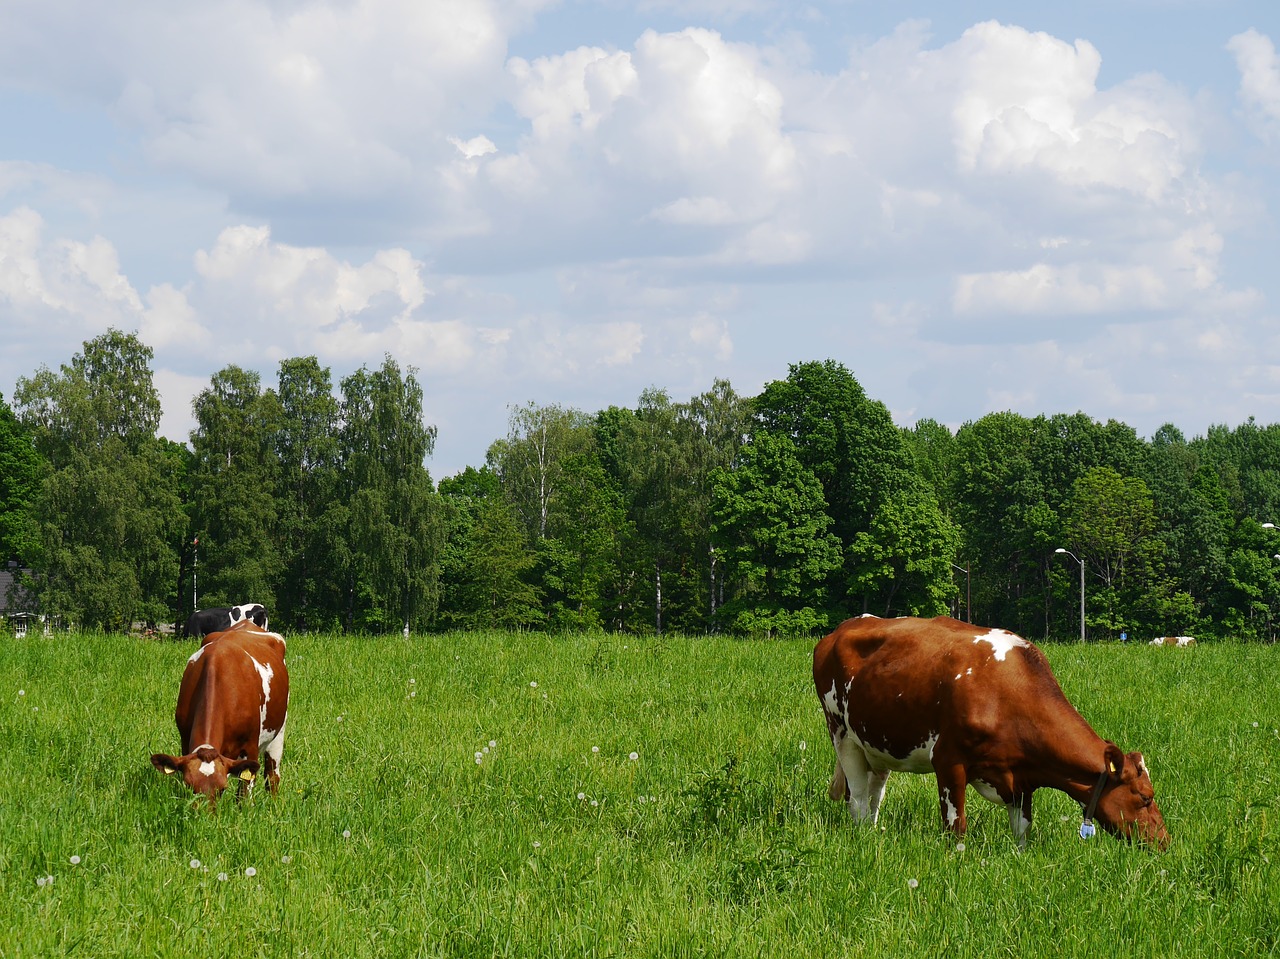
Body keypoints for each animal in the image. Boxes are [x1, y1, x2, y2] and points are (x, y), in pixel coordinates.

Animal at [151, 617, 289, 798]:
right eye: (189, 786)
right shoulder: (184, 740)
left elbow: (243, 793)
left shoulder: (250, 746)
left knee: (272, 774)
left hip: (279, 730)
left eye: (222, 789)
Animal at [814, 614, 1167, 845]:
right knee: (858, 798)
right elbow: (956, 826)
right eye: (1145, 797)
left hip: (878, 743)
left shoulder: (1021, 778)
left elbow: (1022, 831)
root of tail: (842, 628)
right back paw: (863, 837)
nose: (1164, 842)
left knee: (875, 795)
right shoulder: (948, 761)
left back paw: (873, 833)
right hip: (841, 734)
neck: (1009, 694)